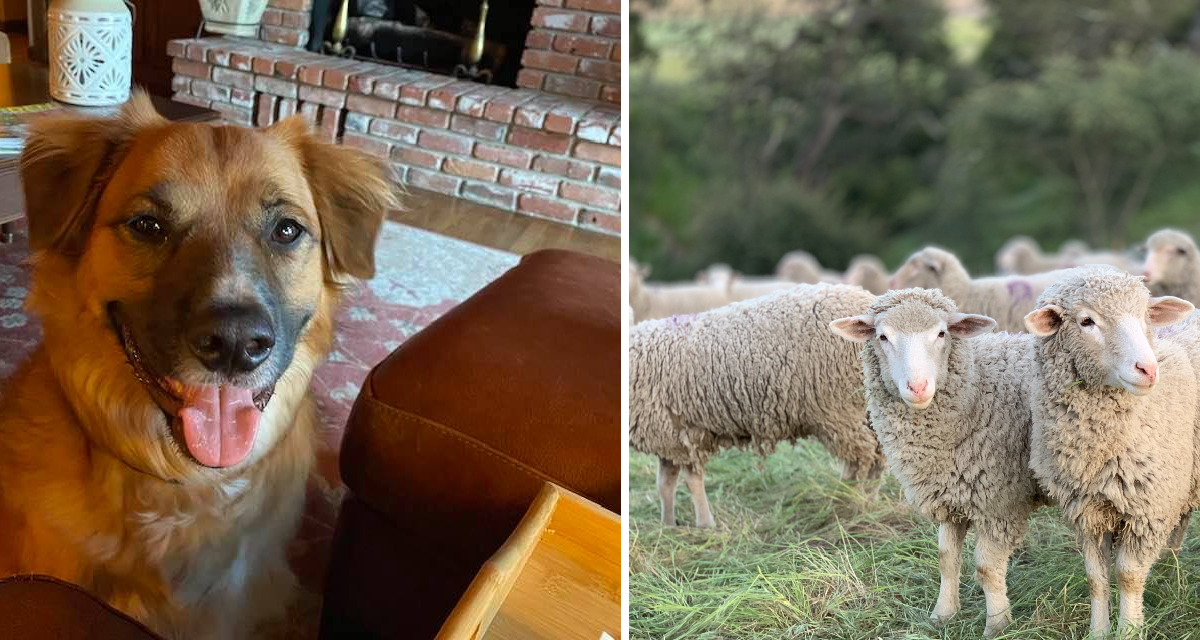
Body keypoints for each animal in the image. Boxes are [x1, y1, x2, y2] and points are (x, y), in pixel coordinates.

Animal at [629, 283, 885, 528]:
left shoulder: (684, 435)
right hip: (863, 408)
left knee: (860, 458)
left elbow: (691, 482)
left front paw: (704, 524)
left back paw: (847, 501)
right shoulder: (668, 437)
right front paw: (667, 525)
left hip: (839, 409)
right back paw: (866, 499)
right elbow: (665, 484)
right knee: (878, 454)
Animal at [830, 288, 1045, 639]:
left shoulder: (1000, 503)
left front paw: (998, 624)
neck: (978, 388)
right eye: (883, 336)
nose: (917, 388)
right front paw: (942, 615)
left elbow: (987, 568)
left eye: (942, 333)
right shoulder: (949, 493)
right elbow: (946, 559)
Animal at [1024, 266, 1197, 637]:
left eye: (1146, 315)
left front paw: (1129, 630)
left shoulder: (1148, 509)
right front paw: (1098, 632)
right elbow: (1096, 578)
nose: (1148, 369)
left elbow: (1127, 576)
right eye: (1086, 321)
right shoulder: (1086, 511)